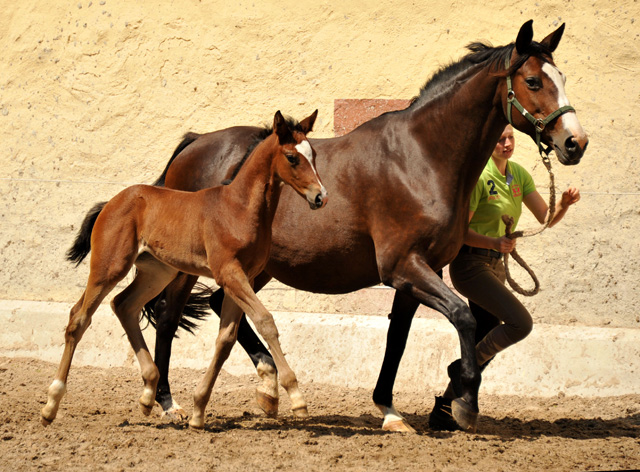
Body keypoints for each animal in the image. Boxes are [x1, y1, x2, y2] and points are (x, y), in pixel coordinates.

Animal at [40, 111, 328, 428]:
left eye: (314, 155)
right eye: (292, 157)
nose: (320, 197)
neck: (238, 208)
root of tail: (112, 202)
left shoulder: (244, 277)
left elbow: (226, 339)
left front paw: (199, 410)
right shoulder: (229, 273)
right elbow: (266, 321)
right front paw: (298, 399)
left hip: (157, 272)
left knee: (123, 305)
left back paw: (148, 394)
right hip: (110, 267)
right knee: (79, 318)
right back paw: (51, 405)